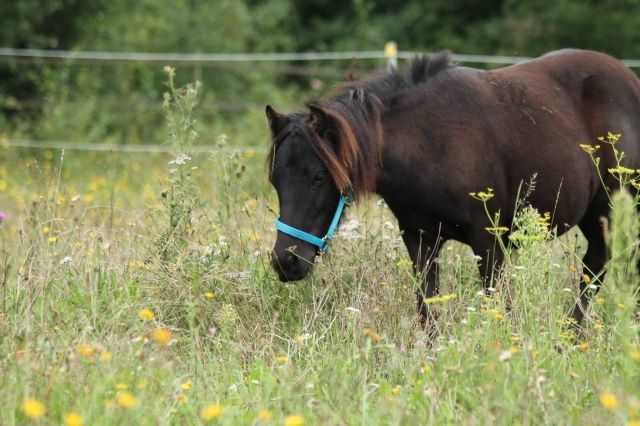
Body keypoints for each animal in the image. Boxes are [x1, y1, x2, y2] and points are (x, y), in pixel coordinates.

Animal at [265, 49, 640, 327]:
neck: (427, 142)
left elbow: (496, 304)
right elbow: (426, 308)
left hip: (611, 209)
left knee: (596, 268)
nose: (285, 261)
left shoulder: (489, 240)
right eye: (275, 180)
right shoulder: (419, 239)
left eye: (317, 177)